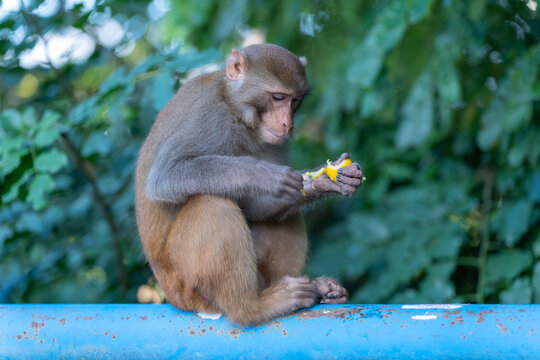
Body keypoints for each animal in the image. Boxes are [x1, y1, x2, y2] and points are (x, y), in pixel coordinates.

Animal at [134, 43, 362, 326]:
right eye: (278, 97)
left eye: (295, 100)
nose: (287, 124)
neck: (237, 112)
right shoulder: (208, 115)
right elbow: (164, 177)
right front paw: (262, 174)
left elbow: (257, 206)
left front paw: (323, 181)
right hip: (185, 284)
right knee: (213, 206)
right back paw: (253, 308)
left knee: (283, 216)